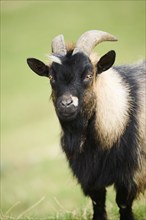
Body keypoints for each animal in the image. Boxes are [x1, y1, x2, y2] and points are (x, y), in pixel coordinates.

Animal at [26, 29, 145, 220]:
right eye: (51, 76)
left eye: (89, 75)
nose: (66, 104)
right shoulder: (89, 177)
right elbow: (98, 203)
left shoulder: (131, 174)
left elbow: (123, 203)